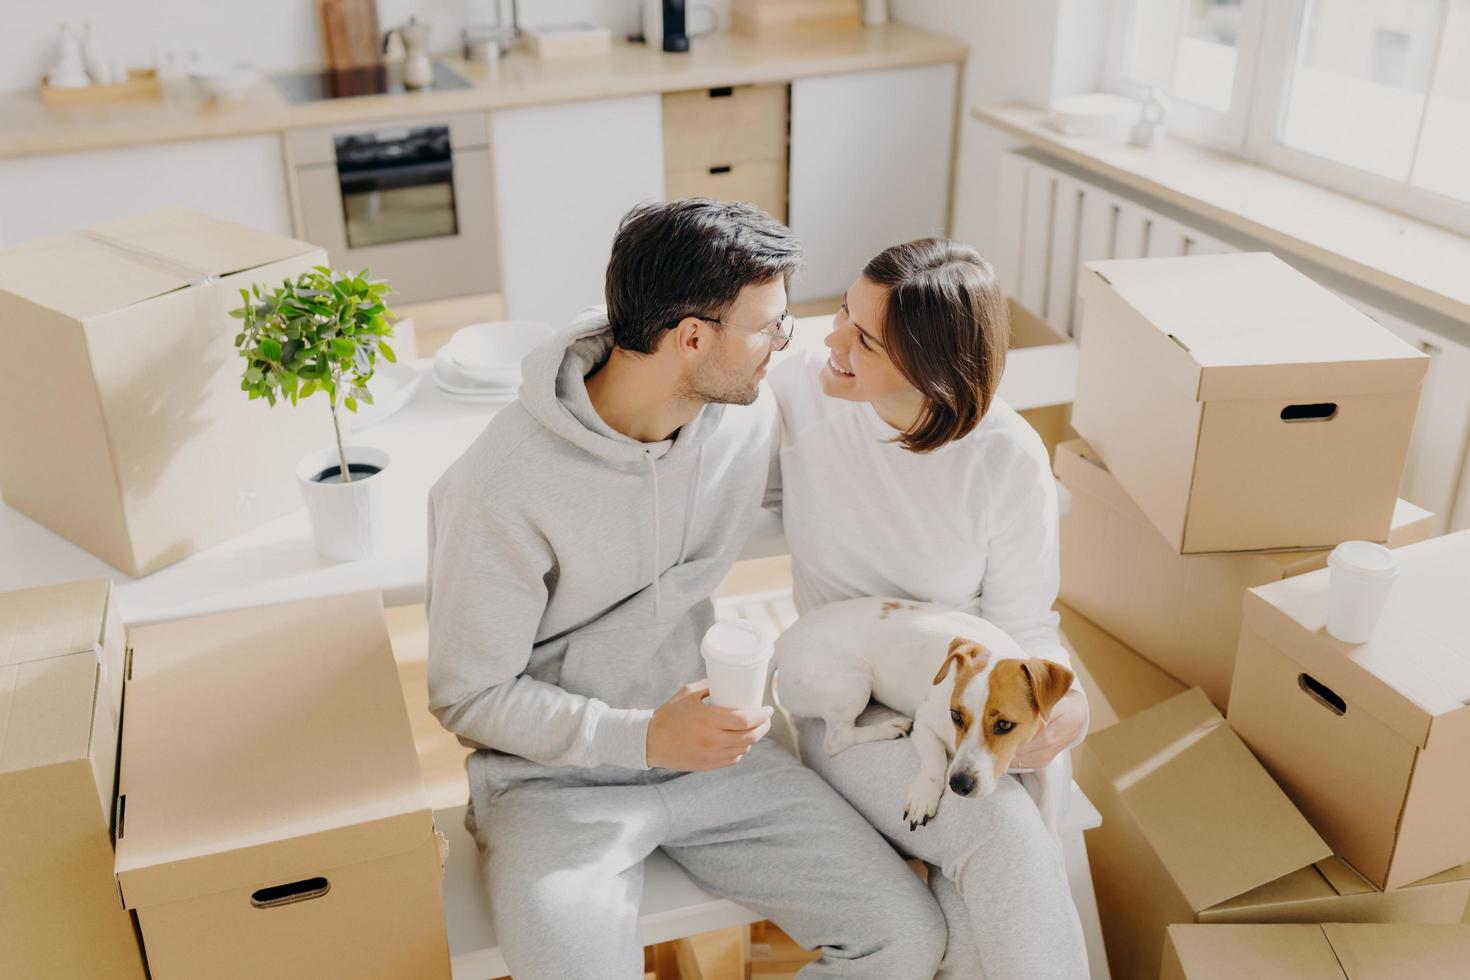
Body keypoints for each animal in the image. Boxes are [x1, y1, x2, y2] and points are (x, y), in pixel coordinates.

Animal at [776, 599, 1076, 834]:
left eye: (1004, 725)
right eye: (956, 716)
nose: (959, 784)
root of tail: (780, 644)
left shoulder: (1042, 761)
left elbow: (1049, 812)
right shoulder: (925, 725)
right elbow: (935, 758)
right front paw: (924, 797)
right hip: (855, 682)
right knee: (836, 739)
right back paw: (890, 726)